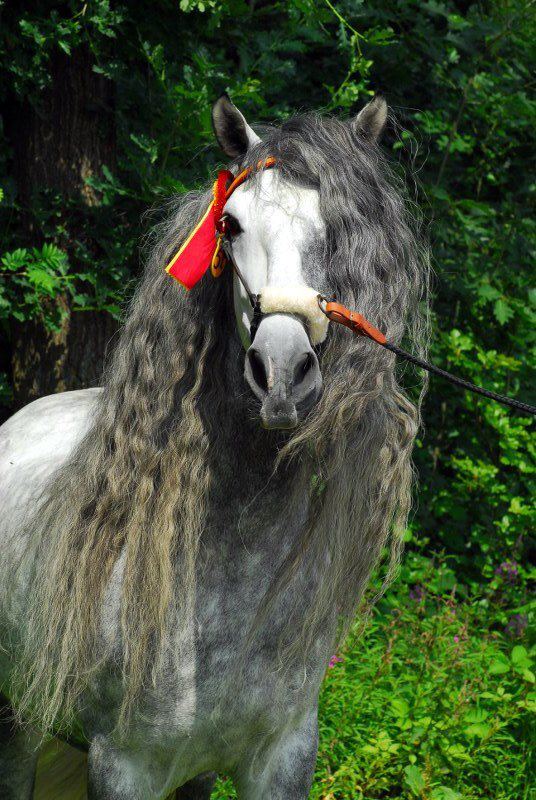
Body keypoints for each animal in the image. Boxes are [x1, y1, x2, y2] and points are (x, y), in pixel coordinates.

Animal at [0, 95, 428, 800]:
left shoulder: (281, 757)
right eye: (230, 224)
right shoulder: (123, 765)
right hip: (18, 718)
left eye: (341, 230)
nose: (280, 374)